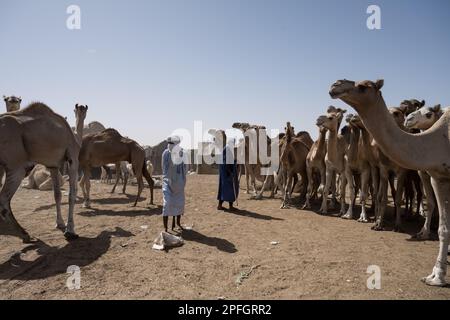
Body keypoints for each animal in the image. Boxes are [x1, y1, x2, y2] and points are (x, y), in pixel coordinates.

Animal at [0, 103, 79, 242]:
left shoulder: (53, 165)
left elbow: (57, 194)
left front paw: (60, 223)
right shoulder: (72, 158)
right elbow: (71, 194)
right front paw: (70, 230)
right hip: (16, 167)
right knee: (4, 199)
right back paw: (24, 234)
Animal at [326, 78, 450, 288]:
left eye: (363, 87)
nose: (335, 84)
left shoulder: (403, 171)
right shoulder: (437, 177)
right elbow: (443, 227)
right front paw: (435, 277)